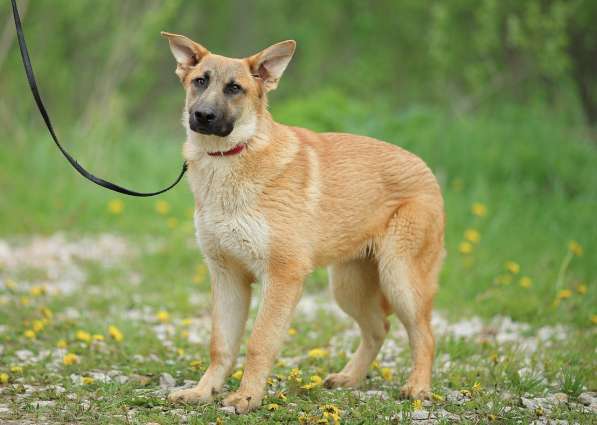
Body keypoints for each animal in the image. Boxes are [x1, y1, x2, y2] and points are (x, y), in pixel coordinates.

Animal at [161, 31, 444, 412]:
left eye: (235, 88)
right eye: (200, 82)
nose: (202, 115)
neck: (232, 157)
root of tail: (426, 169)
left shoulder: (282, 277)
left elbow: (259, 342)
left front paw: (247, 397)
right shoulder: (227, 278)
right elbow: (220, 345)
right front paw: (204, 391)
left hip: (400, 279)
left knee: (424, 335)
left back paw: (418, 388)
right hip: (348, 288)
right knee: (378, 329)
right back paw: (350, 378)